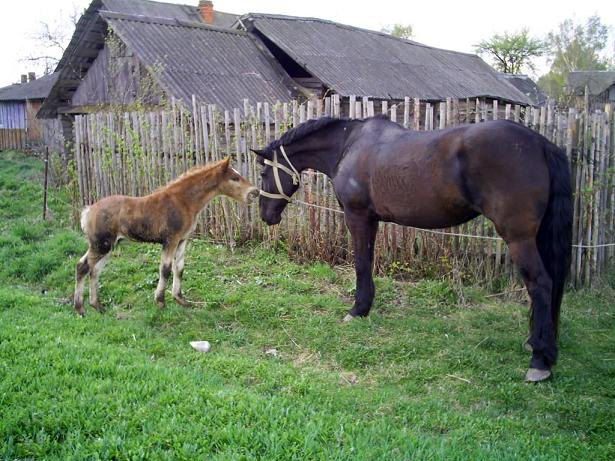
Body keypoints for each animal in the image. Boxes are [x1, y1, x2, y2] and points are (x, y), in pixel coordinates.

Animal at [74, 156, 258, 314]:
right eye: (234, 178)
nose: (254, 192)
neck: (184, 201)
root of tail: (88, 210)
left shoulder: (182, 240)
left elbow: (180, 268)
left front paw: (180, 299)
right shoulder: (171, 240)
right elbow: (166, 269)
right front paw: (160, 301)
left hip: (108, 245)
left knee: (94, 270)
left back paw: (97, 305)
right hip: (101, 245)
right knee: (83, 266)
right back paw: (80, 308)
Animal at [254, 116, 572, 380]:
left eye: (263, 175)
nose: (266, 215)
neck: (348, 145)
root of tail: (540, 144)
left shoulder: (357, 216)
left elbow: (361, 263)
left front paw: (357, 310)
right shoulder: (372, 219)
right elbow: (368, 262)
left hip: (518, 237)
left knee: (540, 284)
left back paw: (540, 360)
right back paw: (536, 343)